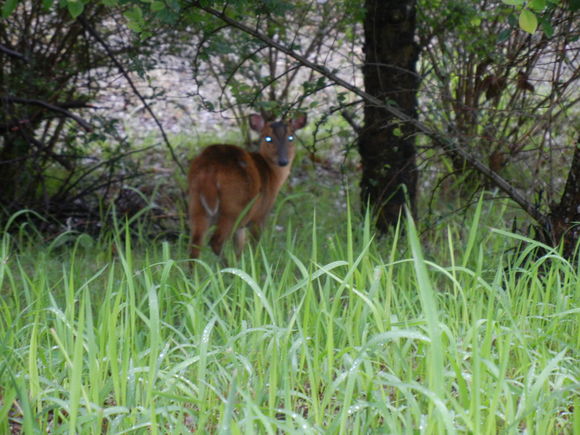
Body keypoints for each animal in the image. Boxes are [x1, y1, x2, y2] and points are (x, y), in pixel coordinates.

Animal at [189, 114, 308, 260]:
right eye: (268, 138)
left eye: (291, 137)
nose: (283, 161)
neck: (271, 174)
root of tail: (210, 168)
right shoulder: (260, 215)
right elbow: (254, 246)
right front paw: (255, 263)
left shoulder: (242, 227)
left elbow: (239, 251)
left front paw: (241, 264)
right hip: (233, 208)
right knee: (215, 241)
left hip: (196, 204)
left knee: (195, 245)